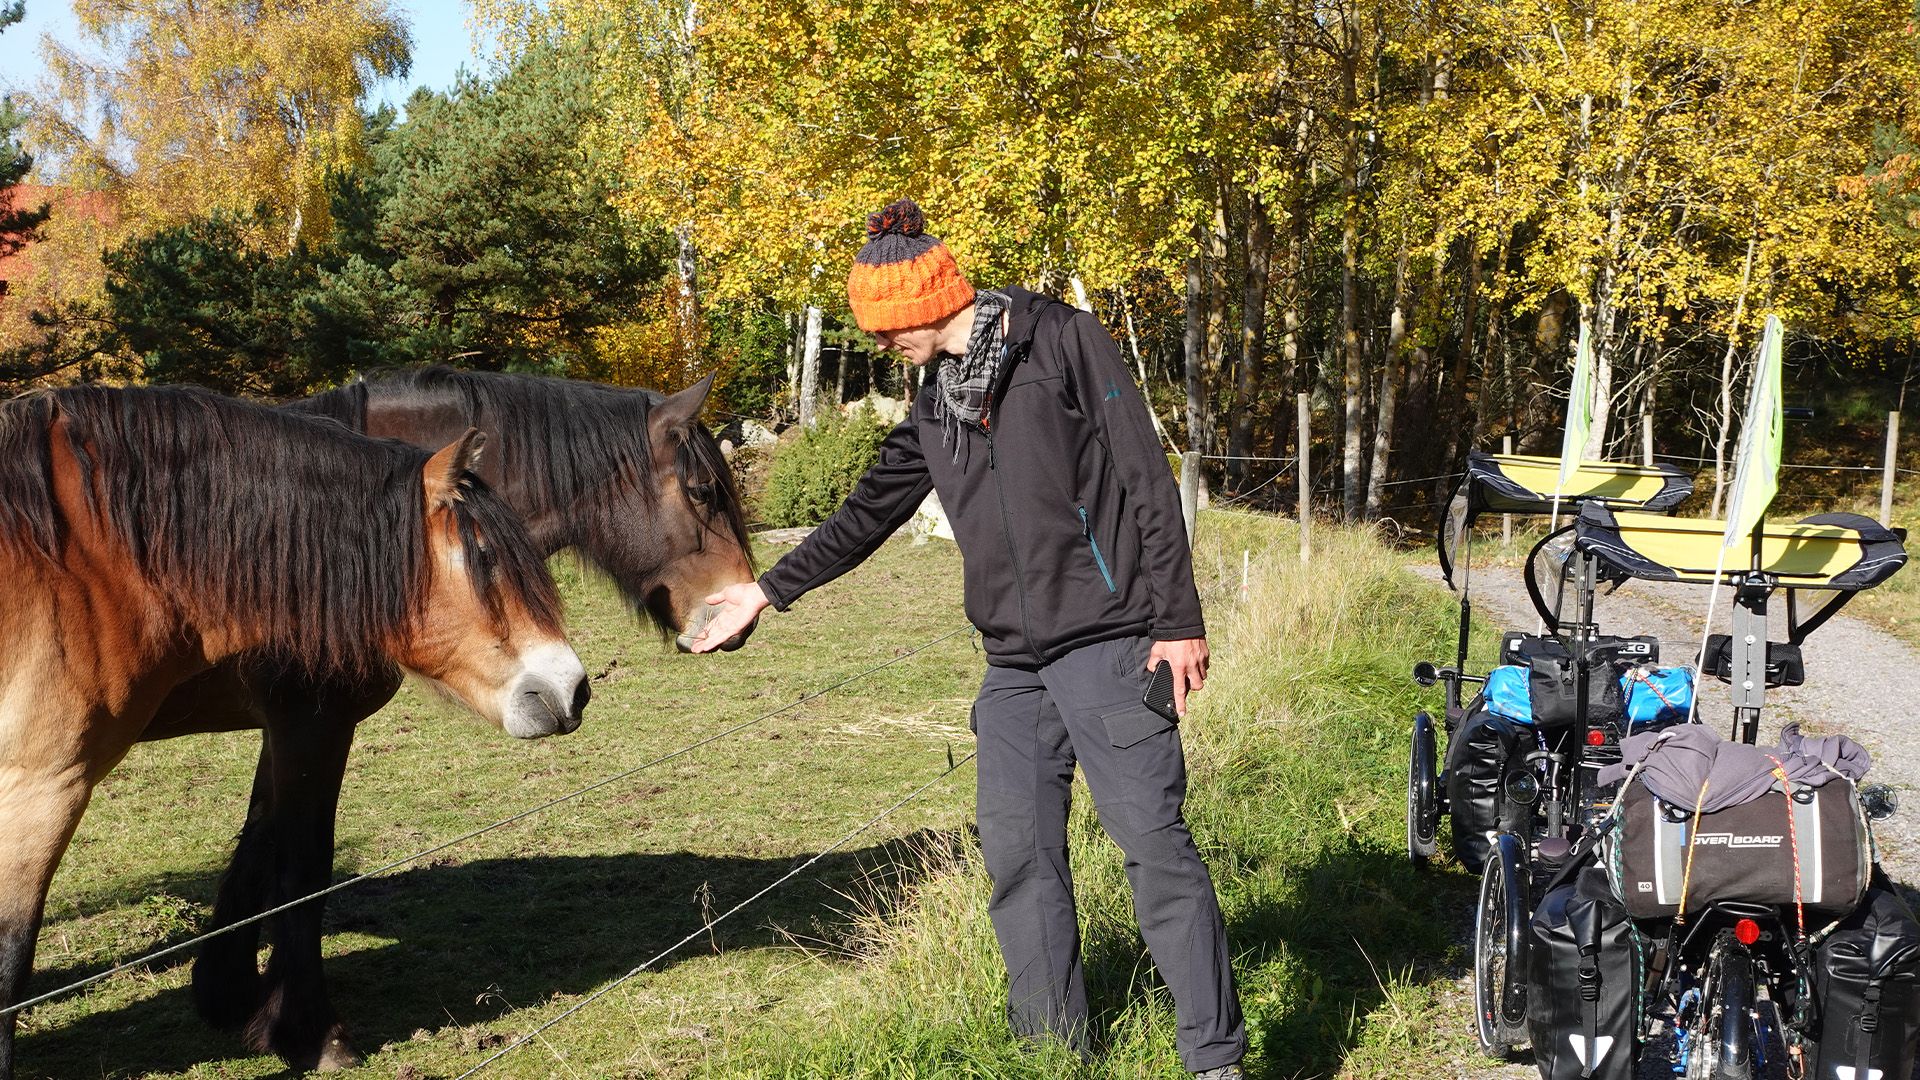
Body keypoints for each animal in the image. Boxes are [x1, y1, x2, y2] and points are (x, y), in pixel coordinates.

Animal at [0, 384, 589, 1080]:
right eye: (483, 557)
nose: (571, 688)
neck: (85, 562)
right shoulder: (43, 784)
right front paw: (310, 1031)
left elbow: (265, 845)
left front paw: (237, 1000)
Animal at [134, 367, 759, 1071]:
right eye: (703, 491)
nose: (741, 613)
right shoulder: (311, 721)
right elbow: (303, 863)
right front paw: (310, 1031)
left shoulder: (289, 728)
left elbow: (259, 839)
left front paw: (228, 993)